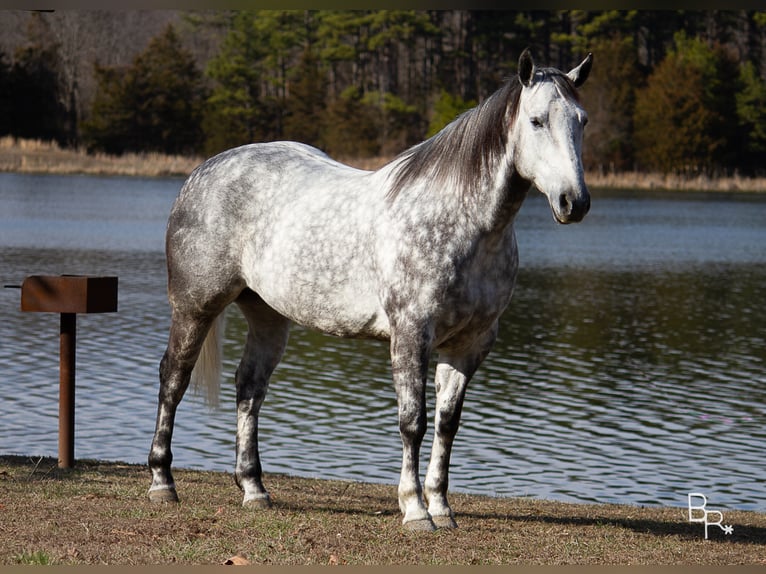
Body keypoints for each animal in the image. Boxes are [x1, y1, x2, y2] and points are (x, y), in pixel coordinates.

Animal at [148, 49, 592, 532]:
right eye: (536, 121)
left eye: (582, 121)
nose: (575, 202)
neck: (464, 224)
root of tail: (202, 173)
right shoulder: (411, 334)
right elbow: (413, 422)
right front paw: (415, 510)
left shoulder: (471, 343)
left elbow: (447, 424)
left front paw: (442, 507)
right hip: (195, 307)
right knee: (173, 378)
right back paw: (162, 482)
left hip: (267, 316)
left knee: (249, 388)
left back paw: (254, 489)